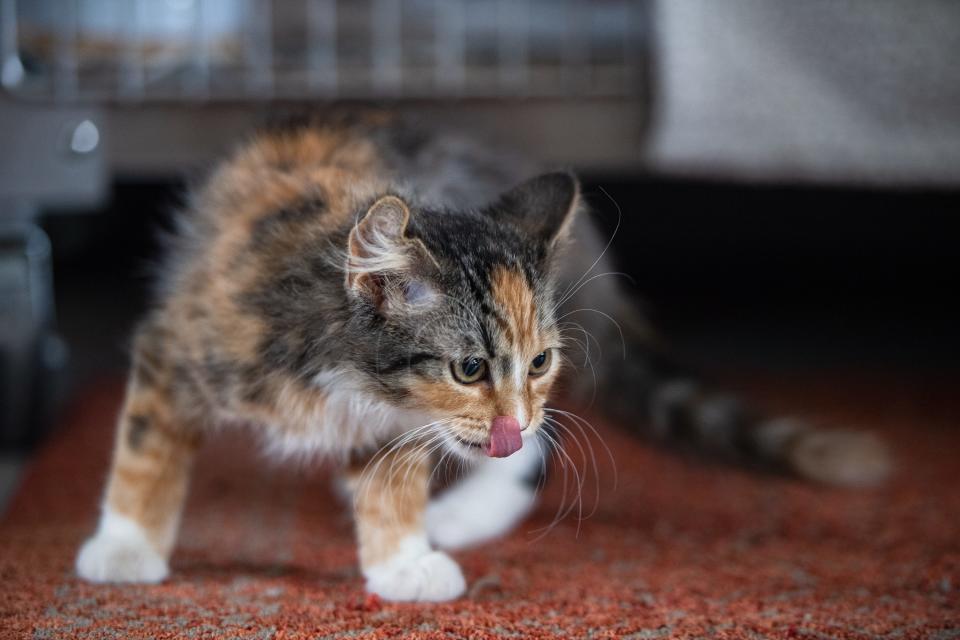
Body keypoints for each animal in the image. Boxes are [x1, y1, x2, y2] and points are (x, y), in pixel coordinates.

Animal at [77, 114, 892, 600]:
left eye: (538, 363)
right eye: (468, 369)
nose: (512, 419)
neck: (344, 369)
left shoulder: (406, 417)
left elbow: (394, 475)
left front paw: (403, 559)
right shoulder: (179, 344)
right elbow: (145, 446)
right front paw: (124, 548)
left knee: (541, 451)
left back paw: (466, 510)